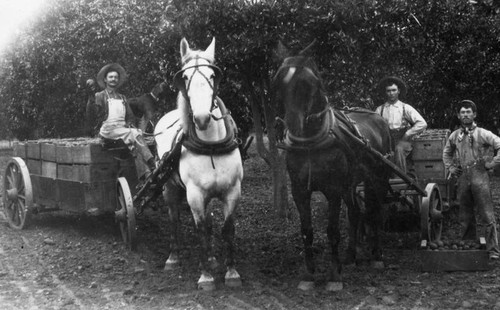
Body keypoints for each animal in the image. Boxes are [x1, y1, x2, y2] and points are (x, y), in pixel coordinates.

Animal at [154, 37, 244, 290]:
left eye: (212, 75)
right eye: (184, 77)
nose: (202, 118)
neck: (211, 144)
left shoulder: (232, 191)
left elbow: (227, 229)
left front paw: (231, 272)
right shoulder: (194, 194)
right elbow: (201, 230)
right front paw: (206, 277)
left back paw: (212, 258)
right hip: (169, 187)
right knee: (174, 217)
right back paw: (173, 257)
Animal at [272, 42, 392, 292]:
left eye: (309, 83)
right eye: (278, 81)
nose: (293, 127)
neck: (312, 142)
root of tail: (379, 118)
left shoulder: (333, 190)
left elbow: (332, 231)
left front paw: (334, 276)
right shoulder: (300, 191)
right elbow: (306, 231)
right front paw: (309, 274)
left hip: (377, 179)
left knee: (375, 213)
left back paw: (376, 255)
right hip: (351, 183)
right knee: (356, 214)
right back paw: (351, 256)